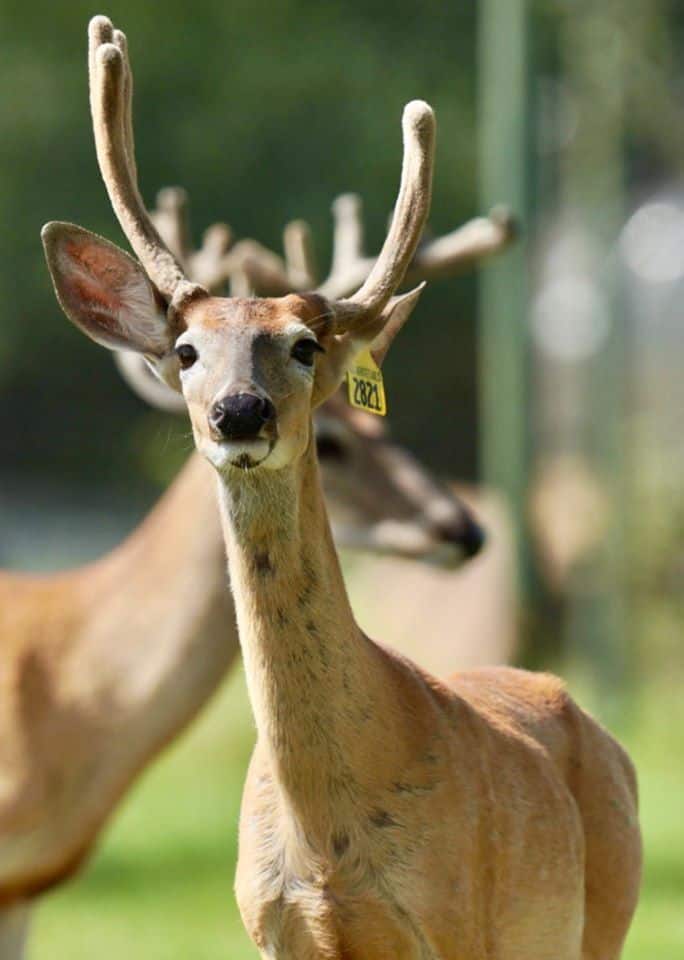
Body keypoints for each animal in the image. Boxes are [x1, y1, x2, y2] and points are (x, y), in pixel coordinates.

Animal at [42, 16, 641, 959]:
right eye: (187, 350)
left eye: (304, 347)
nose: (239, 412)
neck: (328, 837)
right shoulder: (268, 925)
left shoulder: (454, 922)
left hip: (601, 915)